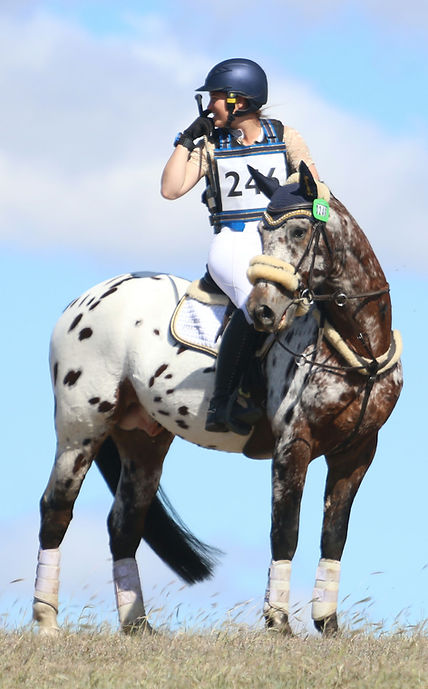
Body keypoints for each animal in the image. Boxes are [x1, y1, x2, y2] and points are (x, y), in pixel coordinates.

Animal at [32, 161, 402, 636]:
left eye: (300, 230)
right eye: (262, 233)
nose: (263, 311)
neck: (357, 348)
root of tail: (81, 301)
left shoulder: (357, 452)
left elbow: (333, 535)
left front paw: (329, 625)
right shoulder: (293, 445)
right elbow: (285, 531)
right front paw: (279, 624)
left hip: (143, 439)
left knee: (124, 525)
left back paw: (139, 627)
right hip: (82, 427)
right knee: (56, 509)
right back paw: (46, 622)